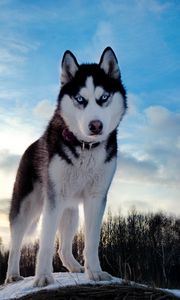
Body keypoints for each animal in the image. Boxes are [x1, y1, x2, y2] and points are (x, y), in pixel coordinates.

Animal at [5, 47, 126, 286]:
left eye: (104, 98)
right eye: (80, 99)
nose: (96, 125)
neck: (85, 147)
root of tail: (30, 147)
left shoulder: (96, 198)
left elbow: (92, 242)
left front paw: (95, 272)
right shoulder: (54, 199)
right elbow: (45, 243)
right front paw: (43, 276)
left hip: (70, 212)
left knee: (62, 248)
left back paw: (75, 267)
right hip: (27, 207)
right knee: (16, 243)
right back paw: (12, 274)